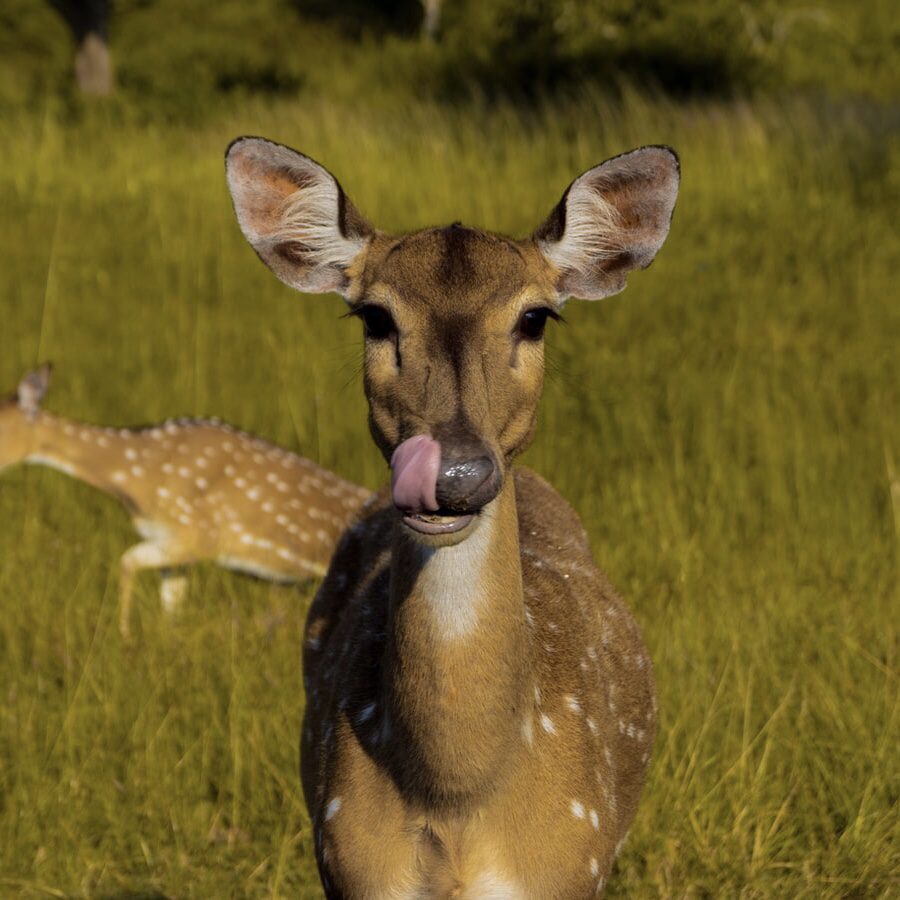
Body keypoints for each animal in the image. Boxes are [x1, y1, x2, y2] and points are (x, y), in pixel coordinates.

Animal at [0, 365, 372, 639]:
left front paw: (123, 636)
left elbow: (126, 562)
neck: (135, 480)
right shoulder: (173, 546)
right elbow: (169, 603)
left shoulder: (198, 536)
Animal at [225, 135, 679, 897]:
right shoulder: (346, 861)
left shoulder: (576, 861)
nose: (454, 472)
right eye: (375, 316)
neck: (458, 795)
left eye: (536, 316)